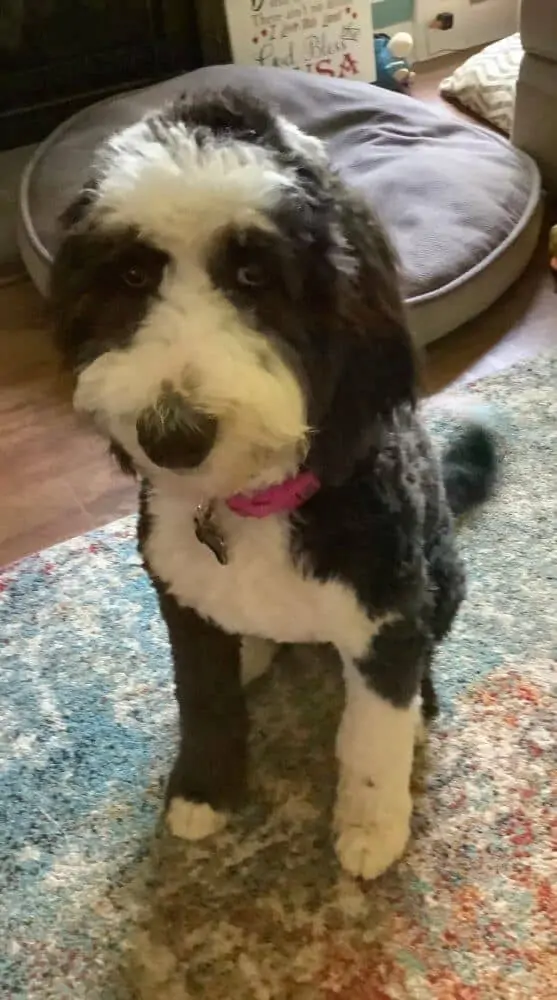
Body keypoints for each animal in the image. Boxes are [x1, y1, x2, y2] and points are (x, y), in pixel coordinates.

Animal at [51, 90, 496, 880]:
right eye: (132, 278)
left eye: (255, 278)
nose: (171, 435)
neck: (250, 500)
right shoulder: (177, 597)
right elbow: (202, 696)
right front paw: (204, 787)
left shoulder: (386, 610)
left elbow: (372, 728)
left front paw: (371, 824)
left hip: (439, 574)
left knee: (420, 660)